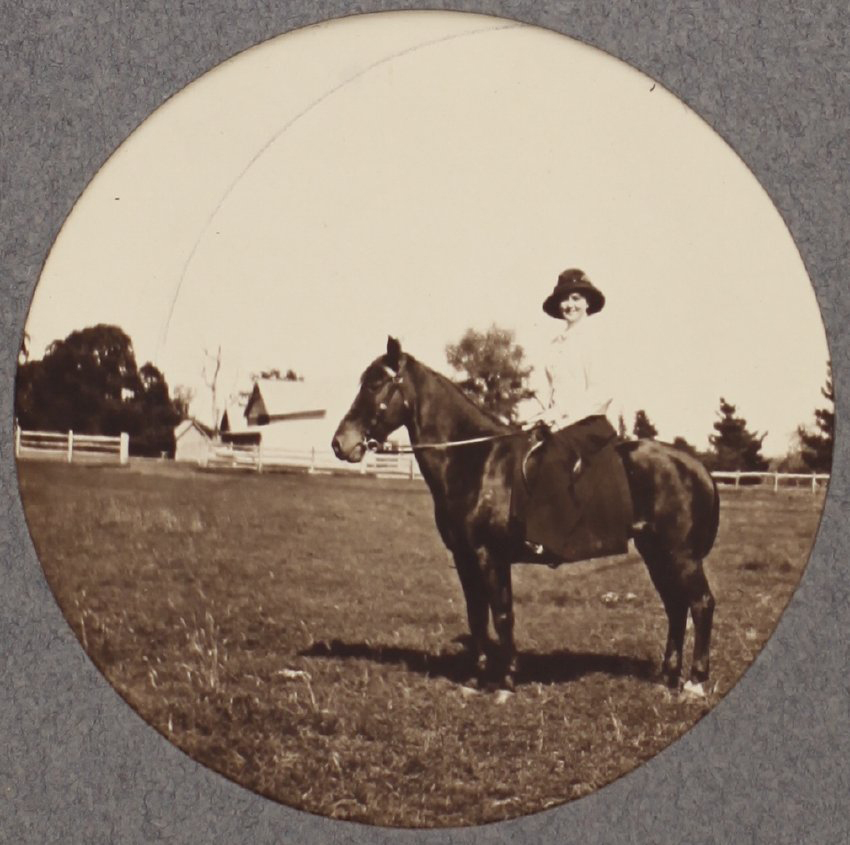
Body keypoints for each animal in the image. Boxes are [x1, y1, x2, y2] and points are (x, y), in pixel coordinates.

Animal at [332, 337, 719, 693]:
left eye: (375, 384)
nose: (340, 443)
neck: (477, 462)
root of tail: (696, 466)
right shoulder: (465, 557)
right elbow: (477, 616)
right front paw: (476, 678)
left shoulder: (489, 555)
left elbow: (502, 615)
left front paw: (506, 681)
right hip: (656, 553)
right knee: (675, 606)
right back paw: (668, 678)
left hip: (680, 555)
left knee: (701, 604)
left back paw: (695, 682)